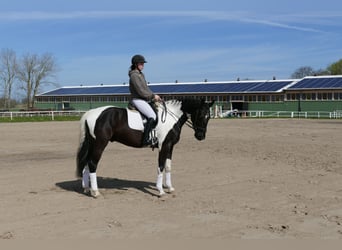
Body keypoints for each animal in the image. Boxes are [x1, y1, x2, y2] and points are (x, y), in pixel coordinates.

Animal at [76, 97, 214, 197]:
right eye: (200, 115)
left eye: (208, 117)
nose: (200, 136)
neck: (171, 117)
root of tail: (90, 113)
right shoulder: (164, 146)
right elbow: (161, 166)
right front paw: (160, 191)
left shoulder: (170, 146)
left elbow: (168, 167)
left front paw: (169, 188)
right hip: (100, 144)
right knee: (92, 163)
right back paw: (95, 192)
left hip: (92, 144)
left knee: (87, 163)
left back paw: (87, 188)